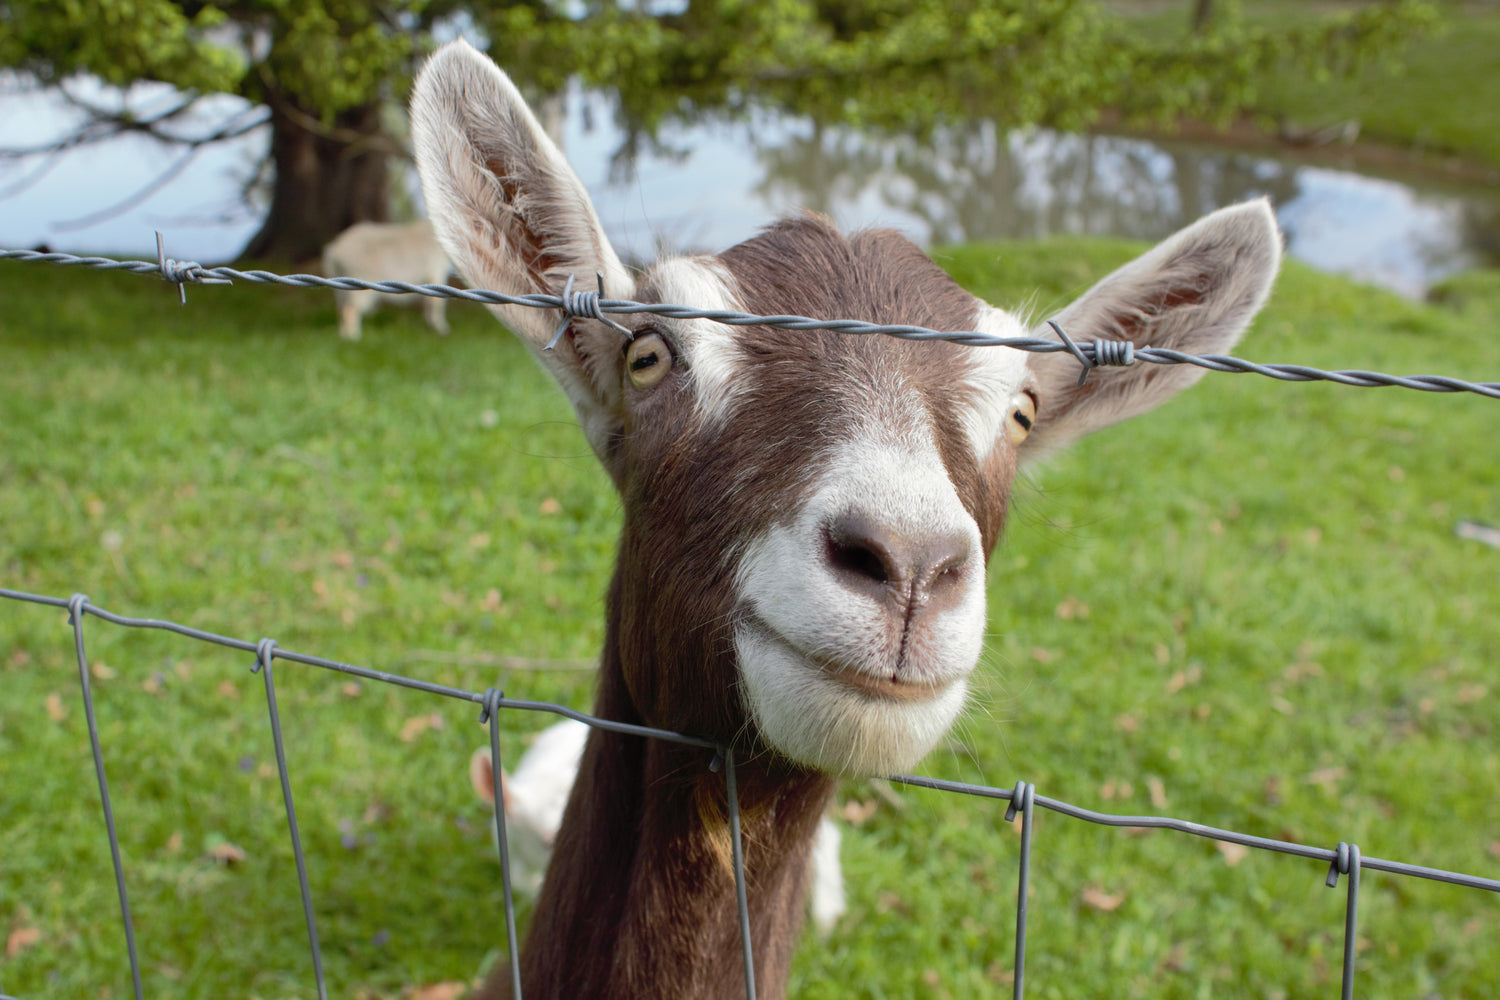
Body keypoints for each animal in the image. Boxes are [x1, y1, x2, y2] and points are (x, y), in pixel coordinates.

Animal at [320, 219, 451, 340]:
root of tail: (334, 252)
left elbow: (429, 301)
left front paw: (430, 324)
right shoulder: (436, 268)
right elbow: (437, 302)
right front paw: (442, 328)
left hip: (342, 286)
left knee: (341, 309)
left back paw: (343, 335)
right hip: (361, 281)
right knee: (350, 310)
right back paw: (354, 337)